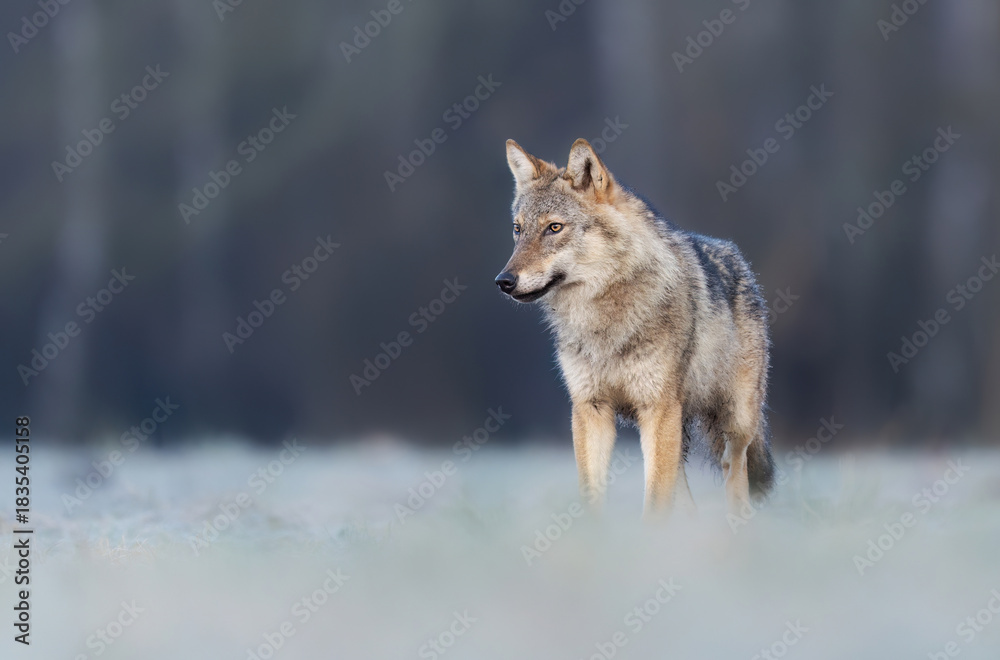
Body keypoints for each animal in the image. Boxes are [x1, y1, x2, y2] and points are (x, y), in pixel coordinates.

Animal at [495, 138, 775, 516]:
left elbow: (654, 503)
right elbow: (593, 499)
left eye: (554, 227)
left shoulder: (656, 409)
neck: (604, 320)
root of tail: (739, 259)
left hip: (734, 424)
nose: (503, 281)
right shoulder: (590, 409)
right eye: (518, 229)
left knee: (737, 475)